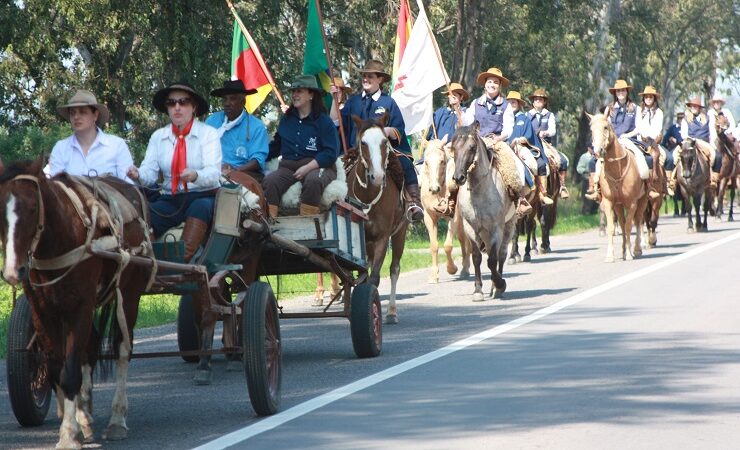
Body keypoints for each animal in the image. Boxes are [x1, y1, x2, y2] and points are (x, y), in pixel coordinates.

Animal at [0, 158, 151, 446]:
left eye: (33, 208)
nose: (14, 271)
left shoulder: (80, 306)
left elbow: (70, 371)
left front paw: (69, 434)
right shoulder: (42, 311)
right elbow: (56, 366)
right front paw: (77, 421)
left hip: (130, 294)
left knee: (122, 349)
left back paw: (117, 420)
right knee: (89, 349)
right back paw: (86, 414)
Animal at [344, 112, 408, 324]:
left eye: (384, 141)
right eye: (363, 142)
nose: (378, 177)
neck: (367, 197)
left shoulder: (382, 238)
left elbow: (374, 278)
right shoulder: (359, 241)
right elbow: (359, 276)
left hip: (400, 233)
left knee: (394, 269)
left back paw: (392, 312)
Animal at [420, 135, 472, 284]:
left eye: (442, 161)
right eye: (426, 162)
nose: (434, 188)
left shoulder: (454, 216)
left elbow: (448, 246)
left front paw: (451, 268)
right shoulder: (429, 217)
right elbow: (434, 246)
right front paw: (433, 275)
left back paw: (465, 269)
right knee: (462, 240)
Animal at [450, 125, 516, 300]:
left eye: (472, 147)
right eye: (453, 147)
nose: (458, 177)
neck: (480, 191)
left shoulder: (496, 228)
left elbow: (492, 260)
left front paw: (500, 284)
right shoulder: (471, 228)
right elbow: (476, 257)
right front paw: (478, 290)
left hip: (509, 226)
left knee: (501, 254)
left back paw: (496, 287)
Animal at [588, 113, 648, 264]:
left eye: (605, 127)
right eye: (591, 129)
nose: (597, 151)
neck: (617, 170)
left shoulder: (631, 203)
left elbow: (628, 226)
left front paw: (629, 254)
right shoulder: (609, 202)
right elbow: (612, 228)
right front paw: (610, 255)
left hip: (643, 200)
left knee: (638, 220)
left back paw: (636, 249)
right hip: (618, 205)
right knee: (622, 222)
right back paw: (623, 249)